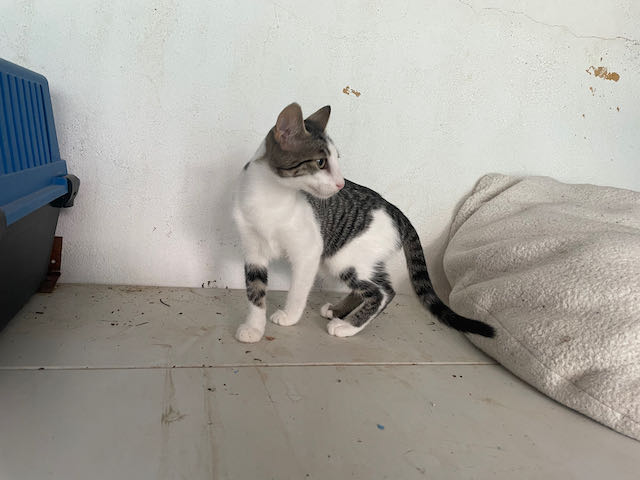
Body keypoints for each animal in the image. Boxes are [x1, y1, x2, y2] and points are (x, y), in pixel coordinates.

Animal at [232, 103, 495, 343]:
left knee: (383, 292)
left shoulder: (308, 252)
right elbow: (255, 291)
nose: (340, 184)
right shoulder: (253, 251)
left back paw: (347, 327)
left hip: (344, 256)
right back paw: (337, 312)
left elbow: (298, 290)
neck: (270, 200)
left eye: (336, 160)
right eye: (320, 163)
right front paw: (254, 328)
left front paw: (289, 316)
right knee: (372, 287)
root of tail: (395, 211)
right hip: (354, 257)